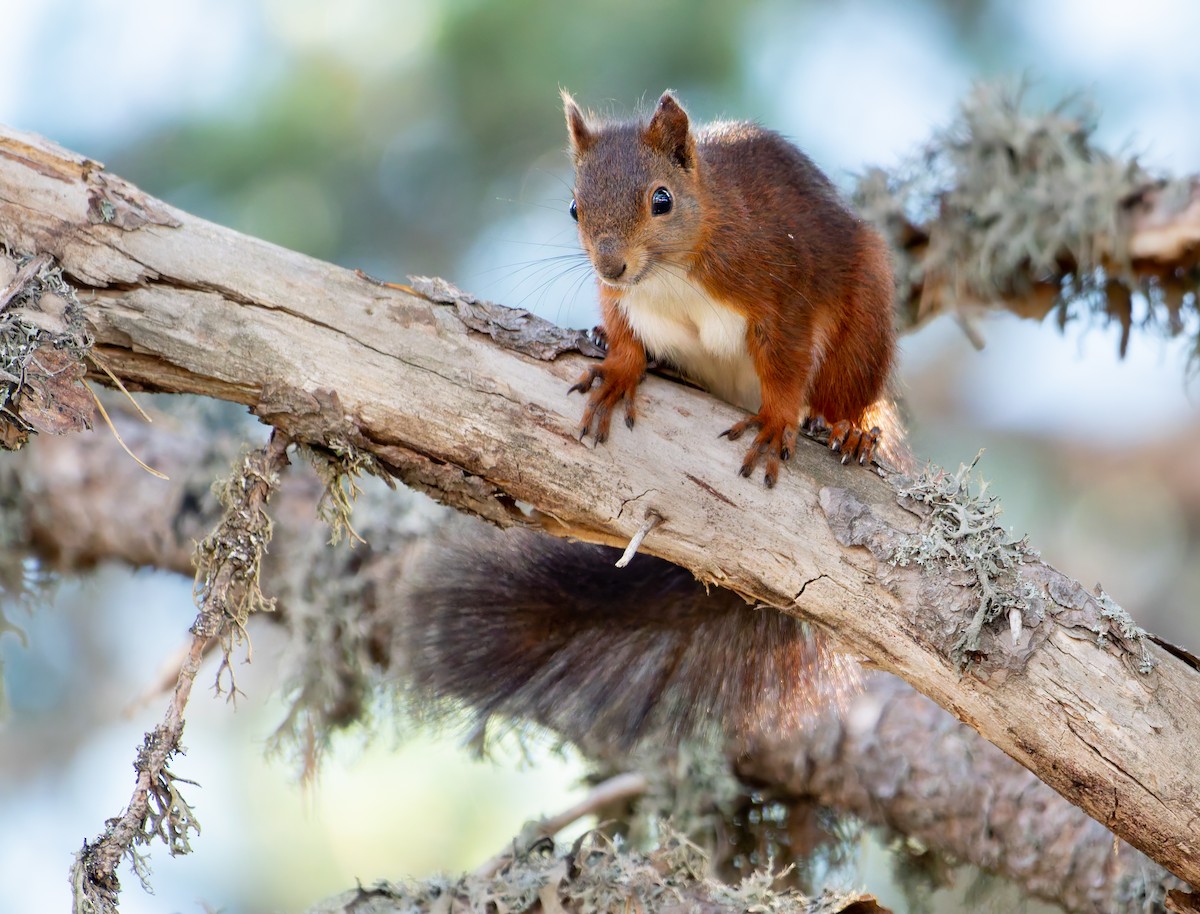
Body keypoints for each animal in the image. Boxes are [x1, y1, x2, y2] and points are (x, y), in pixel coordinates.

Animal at [402, 91, 903, 754]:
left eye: (661, 199)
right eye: (574, 207)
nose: (611, 264)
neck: (671, 273)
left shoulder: (783, 286)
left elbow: (788, 365)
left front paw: (774, 423)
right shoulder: (624, 301)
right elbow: (623, 334)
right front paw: (616, 372)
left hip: (865, 313)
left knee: (850, 388)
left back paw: (854, 427)